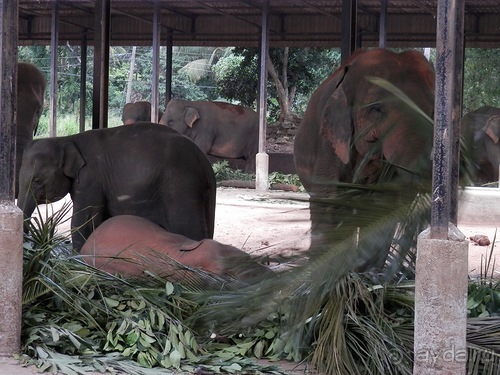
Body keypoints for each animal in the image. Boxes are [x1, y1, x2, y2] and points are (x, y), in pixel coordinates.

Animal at [17, 124, 217, 253]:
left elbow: (83, 220)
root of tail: (206, 166)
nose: (30, 247)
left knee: (189, 229)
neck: (66, 140)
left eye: (37, 180)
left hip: (181, 186)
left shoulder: (91, 179)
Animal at [292, 50, 434, 272]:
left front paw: (367, 273)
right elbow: (328, 203)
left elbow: (381, 209)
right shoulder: (329, 144)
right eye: (376, 109)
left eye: (432, 111)